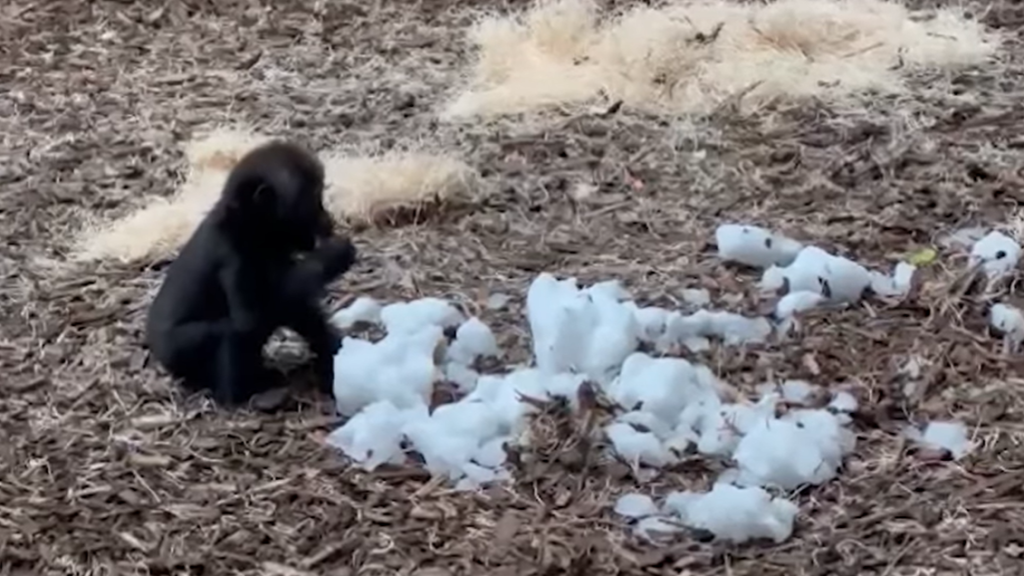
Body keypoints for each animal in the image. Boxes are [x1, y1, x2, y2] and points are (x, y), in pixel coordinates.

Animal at [145, 140, 356, 405]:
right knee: (228, 331)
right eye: (312, 202)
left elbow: (298, 306)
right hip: (176, 352)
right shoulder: (233, 256)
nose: (327, 220)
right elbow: (250, 319)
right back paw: (242, 393)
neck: (247, 225)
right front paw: (335, 255)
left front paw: (335, 352)